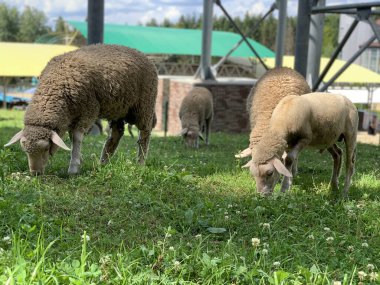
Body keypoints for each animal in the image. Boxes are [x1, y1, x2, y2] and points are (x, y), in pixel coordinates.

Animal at [5, 43, 157, 174]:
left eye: (46, 147)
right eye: (25, 150)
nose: (35, 173)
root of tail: (142, 54)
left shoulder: (89, 109)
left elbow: (77, 137)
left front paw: (73, 167)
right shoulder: (73, 114)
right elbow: (72, 137)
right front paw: (78, 160)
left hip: (144, 104)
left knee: (145, 133)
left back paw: (140, 163)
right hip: (118, 107)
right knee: (116, 133)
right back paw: (103, 163)